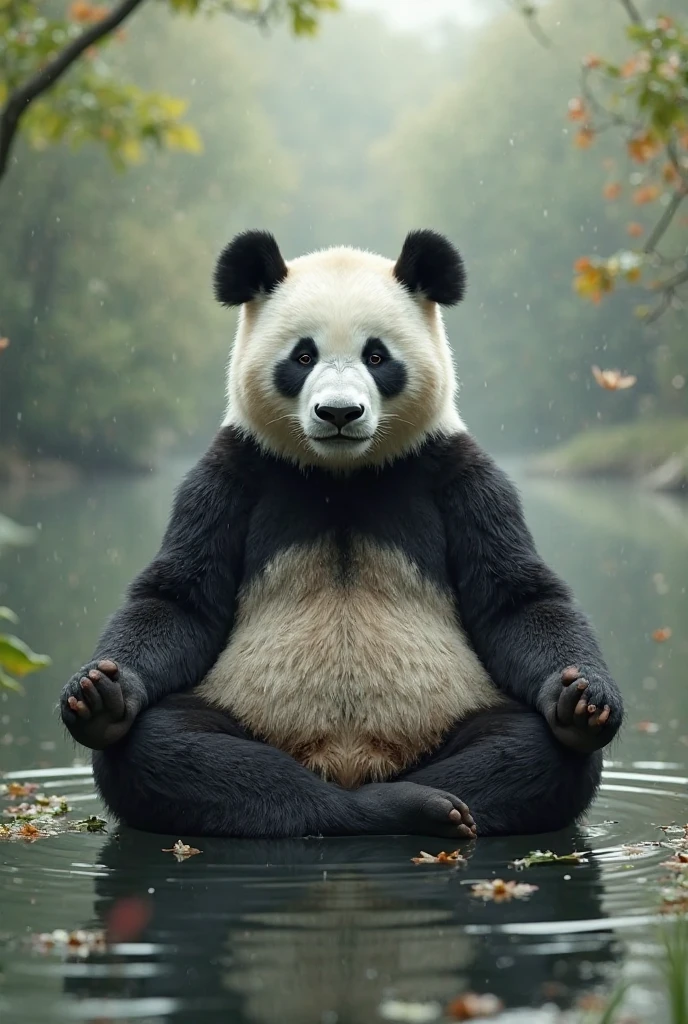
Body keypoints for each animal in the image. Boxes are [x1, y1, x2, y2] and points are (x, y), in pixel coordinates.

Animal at [60, 229, 623, 840]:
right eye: (302, 356)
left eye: (377, 357)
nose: (338, 413)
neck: (342, 473)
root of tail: (349, 770)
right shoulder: (234, 473)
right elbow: (179, 600)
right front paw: (101, 692)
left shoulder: (455, 473)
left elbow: (516, 600)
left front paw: (583, 698)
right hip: (244, 709)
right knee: (169, 746)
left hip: (451, 710)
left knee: (530, 747)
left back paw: (434, 799)